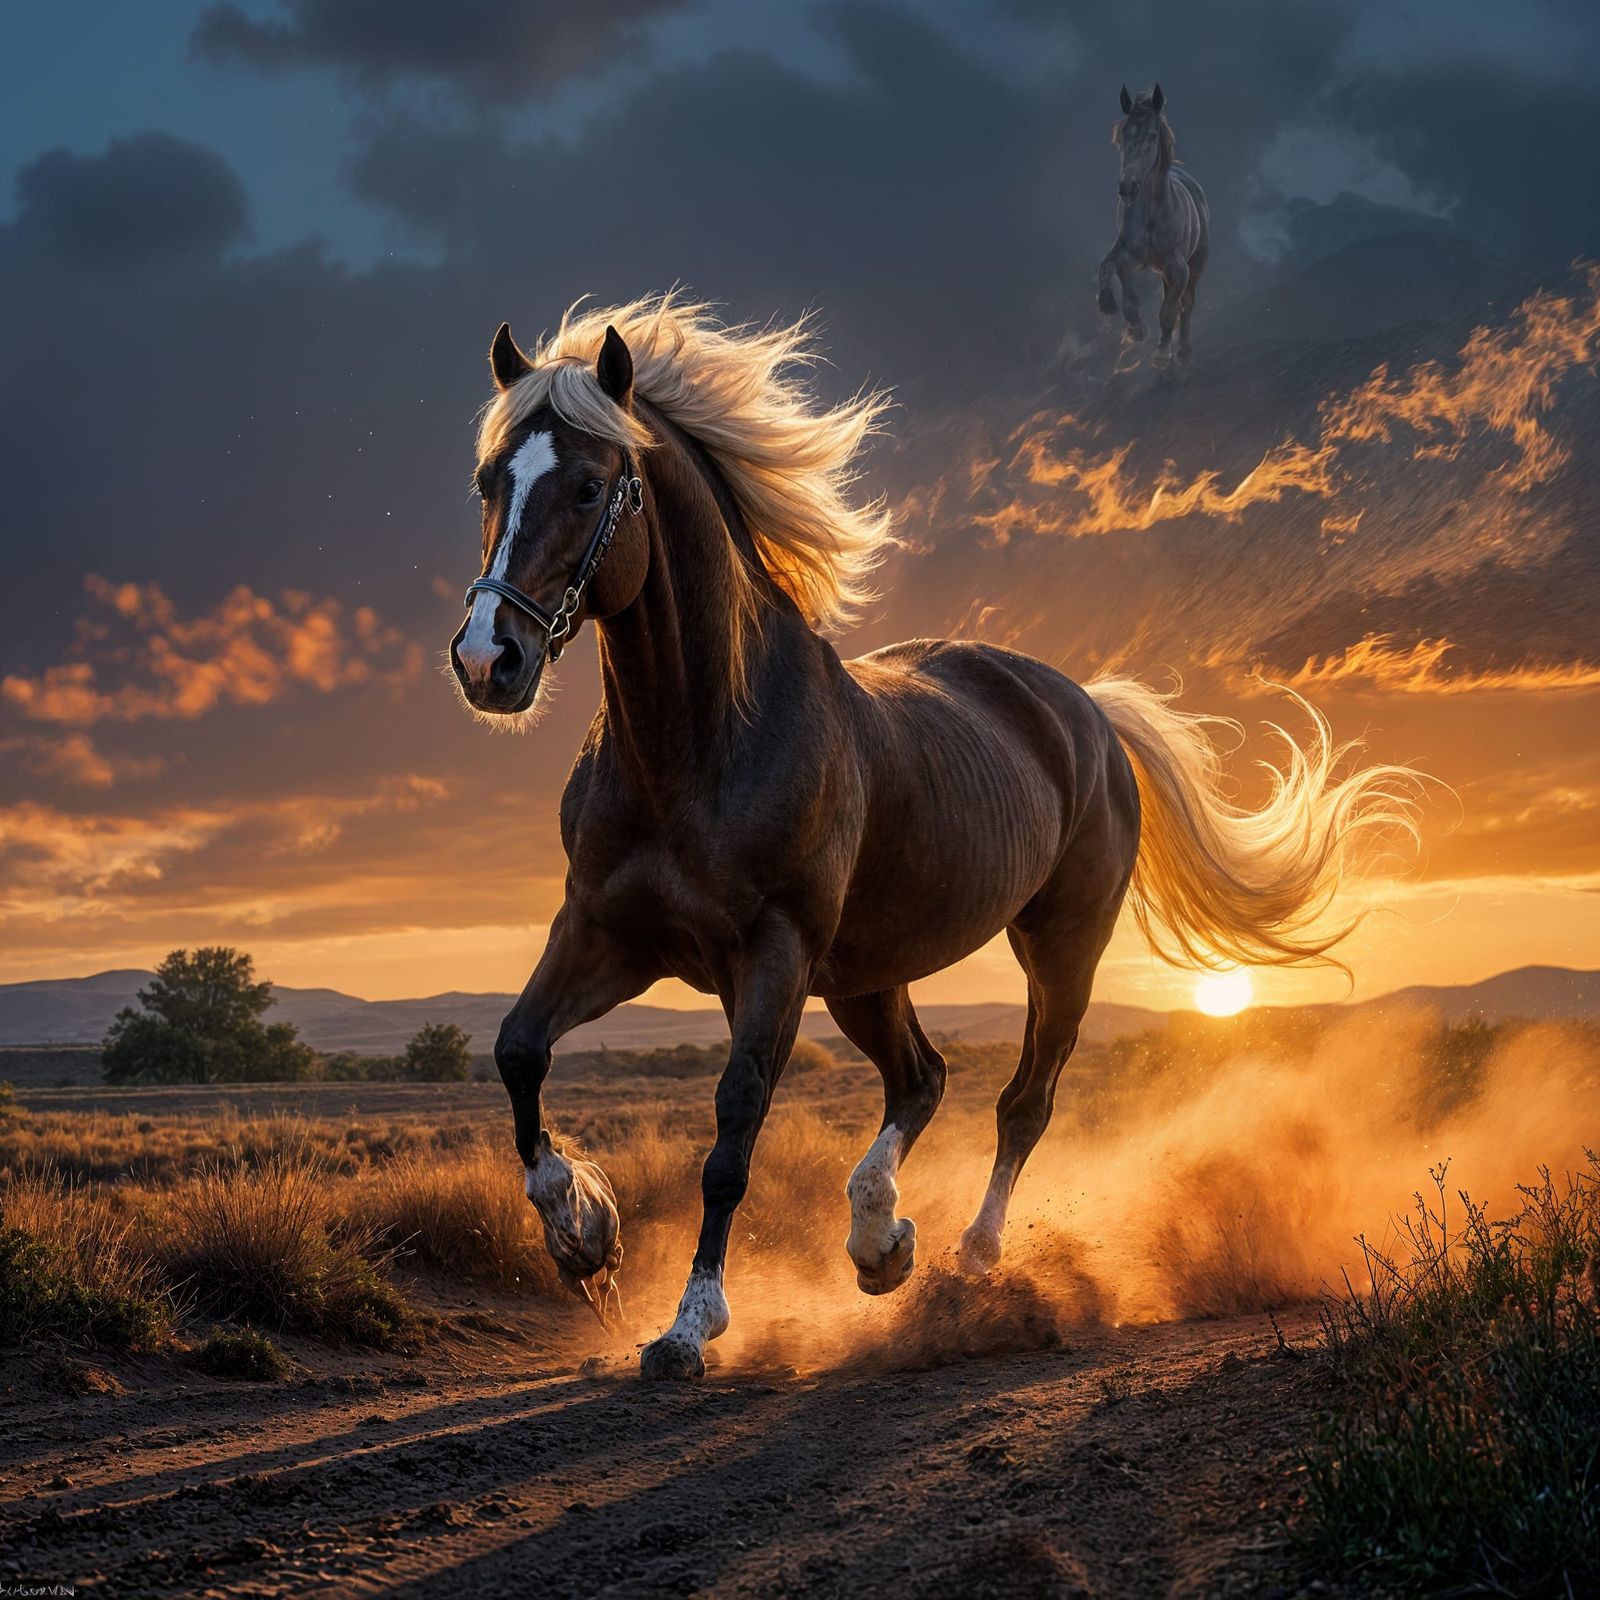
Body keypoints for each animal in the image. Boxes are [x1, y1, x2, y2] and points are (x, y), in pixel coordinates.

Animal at [449, 295, 1418, 1380]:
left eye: (585, 485)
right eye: (490, 480)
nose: (488, 660)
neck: (699, 742)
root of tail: (1089, 713)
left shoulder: (772, 955)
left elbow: (734, 1125)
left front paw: (690, 1325)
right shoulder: (609, 934)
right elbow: (518, 1049)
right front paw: (583, 1231)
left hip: (1055, 950)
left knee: (1021, 1101)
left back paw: (968, 1258)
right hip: (865, 974)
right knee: (921, 1078)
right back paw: (880, 1244)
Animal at [1097, 83, 1210, 367]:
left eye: (1151, 136)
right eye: (1122, 136)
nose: (1127, 186)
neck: (1151, 215)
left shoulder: (1178, 267)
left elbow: (1169, 311)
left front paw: (1161, 353)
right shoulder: (1129, 256)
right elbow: (1114, 276)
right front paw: (1132, 326)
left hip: (1196, 265)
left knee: (1187, 304)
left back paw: (1183, 351)